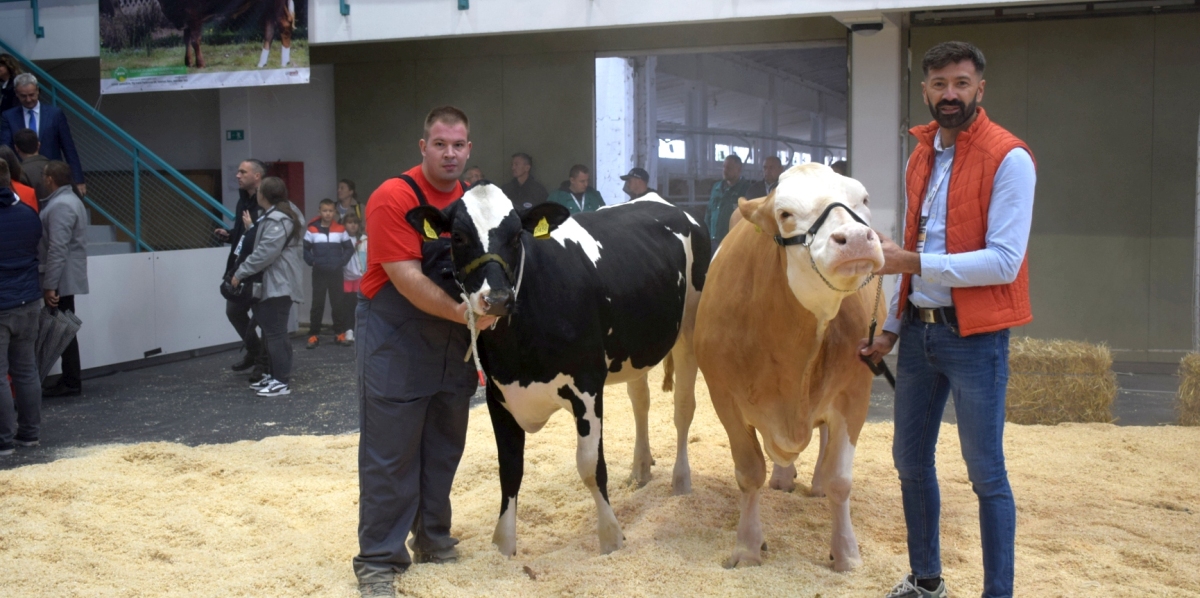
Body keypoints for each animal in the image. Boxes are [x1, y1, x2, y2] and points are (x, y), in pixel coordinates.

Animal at [410, 186, 710, 554]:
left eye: (517, 236)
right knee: (641, 401)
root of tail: (659, 199)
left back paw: (681, 481)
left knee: (683, 408)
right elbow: (510, 469)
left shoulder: (587, 387)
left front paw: (611, 538)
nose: (497, 299)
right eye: (458, 236)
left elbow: (590, 465)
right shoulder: (499, 394)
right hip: (635, 350)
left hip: (690, 327)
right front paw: (504, 546)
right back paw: (640, 469)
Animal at [696, 162, 883, 569]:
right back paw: (783, 476)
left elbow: (841, 479)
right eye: (785, 215)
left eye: (863, 199)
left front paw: (846, 554)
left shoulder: (854, 393)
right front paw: (748, 547)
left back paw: (815, 483)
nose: (856, 238)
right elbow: (749, 472)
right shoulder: (724, 397)